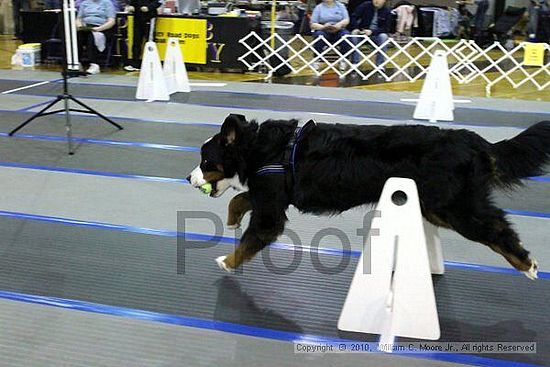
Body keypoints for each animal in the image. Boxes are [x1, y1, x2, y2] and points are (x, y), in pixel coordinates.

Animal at [190, 115, 550, 278]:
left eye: (206, 161)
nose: (189, 178)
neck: (261, 149)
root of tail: (470, 139)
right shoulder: (272, 192)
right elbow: (241, 198)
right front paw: (232, 217)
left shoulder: (271, 209)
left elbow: (252, 236)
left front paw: (227, 261)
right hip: (437, 207)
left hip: (456, 207)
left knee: (497, 228)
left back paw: (528, 264)